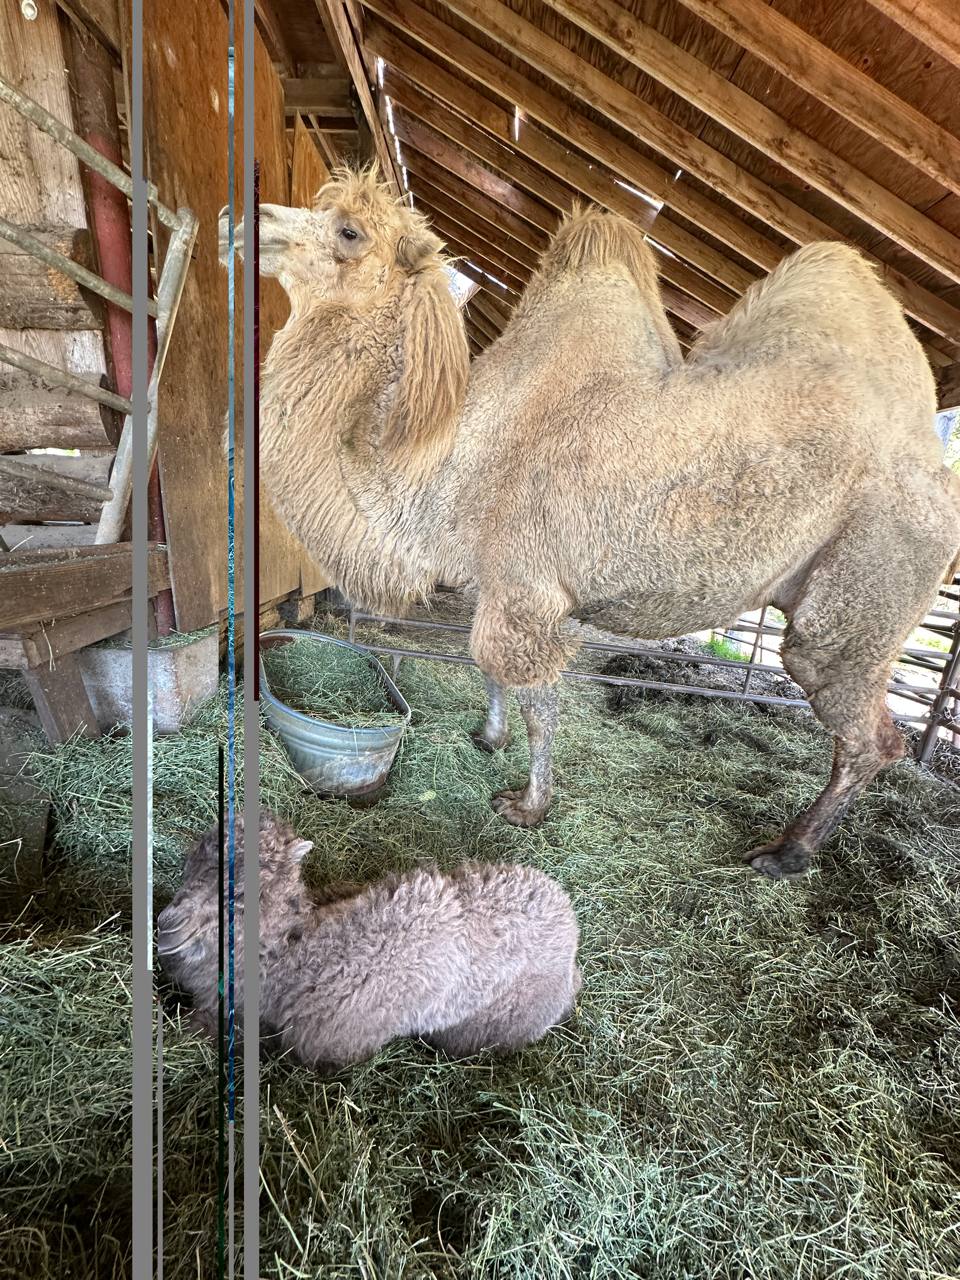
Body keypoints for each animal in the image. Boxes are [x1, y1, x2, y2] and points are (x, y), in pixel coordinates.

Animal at [221, 165, 960, 880]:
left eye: (349, 231)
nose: (241, 217)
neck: (446, 462)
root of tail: (937, 470)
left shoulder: (526, 593)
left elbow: (537, 702)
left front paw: (527, 805)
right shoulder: (497, 585)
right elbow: (489, 671)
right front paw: (487, 739)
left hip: (863, 586)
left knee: (869, 730)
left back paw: (788, 853)